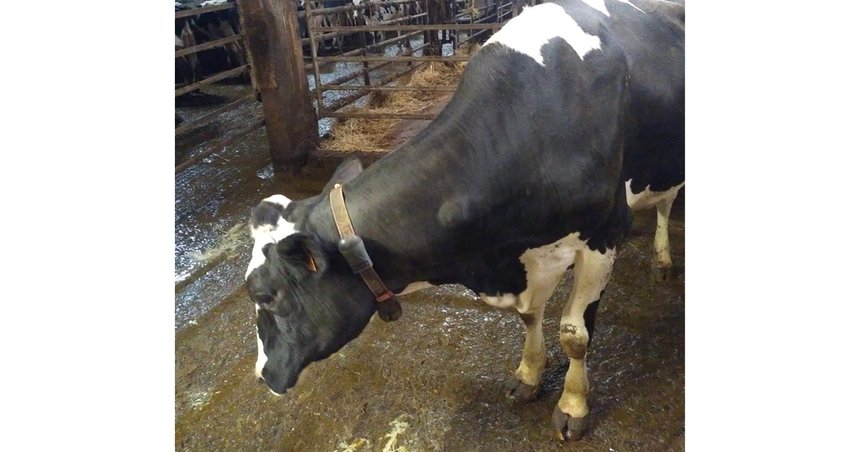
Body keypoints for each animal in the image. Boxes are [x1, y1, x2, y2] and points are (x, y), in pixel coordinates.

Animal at [245, 0, 684, 441]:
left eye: (265, 296)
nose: (261, 374)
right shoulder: (527, 257)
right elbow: (530, 316)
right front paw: (528, 375)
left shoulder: (603, 235)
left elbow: (575, 335)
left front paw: (572, 405)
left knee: (667, 204)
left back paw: (662, 258)